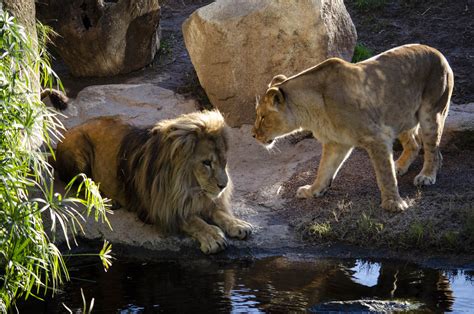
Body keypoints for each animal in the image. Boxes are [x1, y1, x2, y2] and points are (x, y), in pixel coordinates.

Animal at [56, 110, 252, 253]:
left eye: (224, 161)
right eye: (206, 163)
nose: (223, 185)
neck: (188, 186)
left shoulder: (201, 199)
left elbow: (217, 212)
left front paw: (237, 224)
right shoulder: (154, 210)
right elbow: (191, 220)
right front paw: (212, 236)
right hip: (80, 151)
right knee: (81, 184)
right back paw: (107, 201)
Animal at [254, 43, 454, 211]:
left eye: (263, 117)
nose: (253, 135)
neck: (311, 112)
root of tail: (437, 52)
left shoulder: (377, 136)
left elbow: (384, 173)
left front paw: (393, 203)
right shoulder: (336, 142)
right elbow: (324, 169)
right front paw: (313, 190)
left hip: (431, 113)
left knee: (432, 148)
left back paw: (426, 176)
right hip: (401, 115)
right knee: (416, 145)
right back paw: (399, 166)